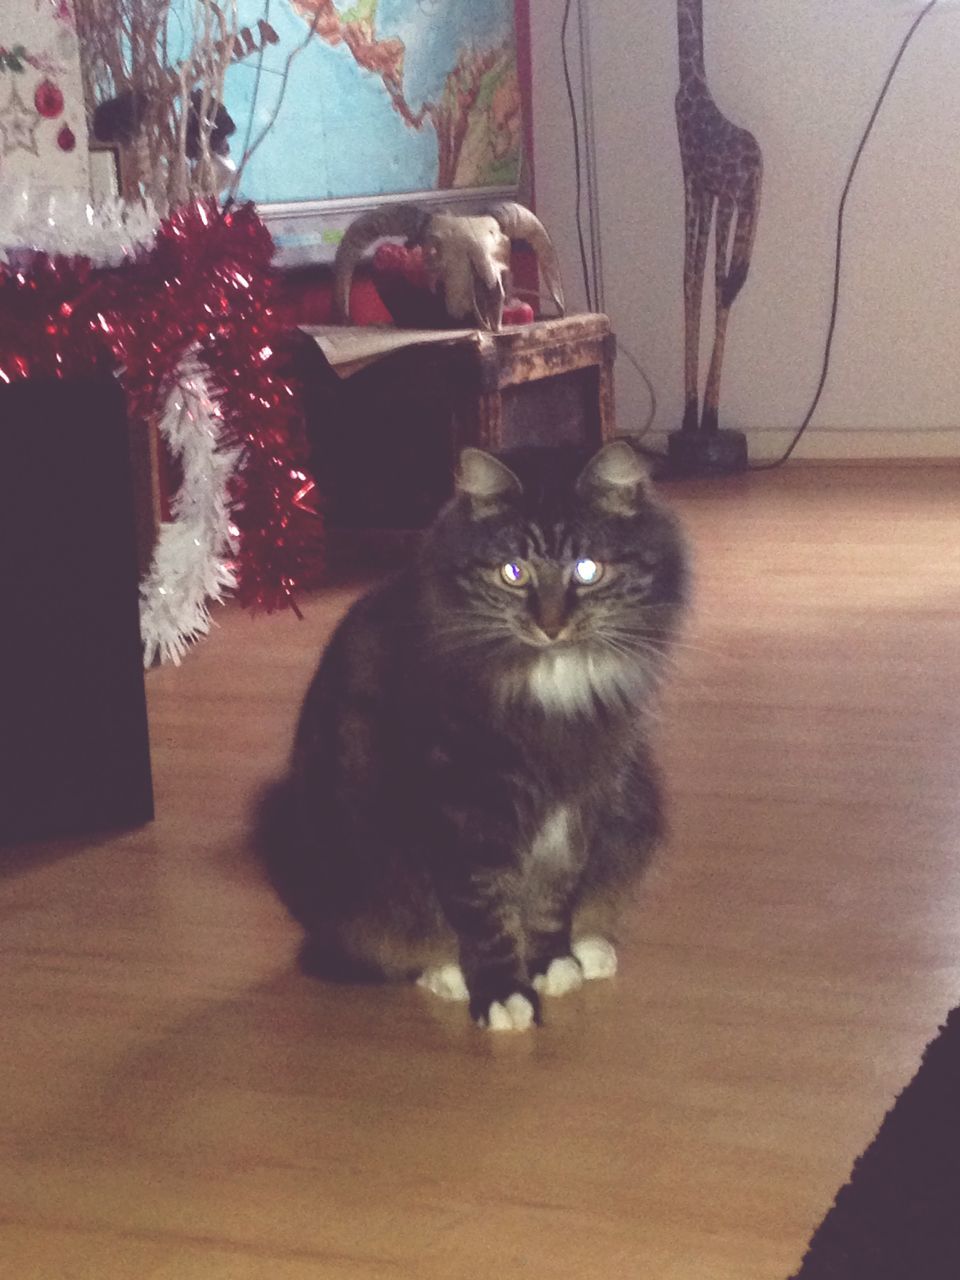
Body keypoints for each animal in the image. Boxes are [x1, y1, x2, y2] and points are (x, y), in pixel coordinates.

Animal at [256, 440, 691, 1029]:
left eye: (587, 570)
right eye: (513, 572)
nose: (551, 625)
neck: (551, 679)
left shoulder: (582, 801)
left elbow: (554, 897)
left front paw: (552, 962)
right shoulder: (463, 806)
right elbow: (486, 913)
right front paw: (504, 994)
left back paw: (592, 949)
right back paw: (448, 976)